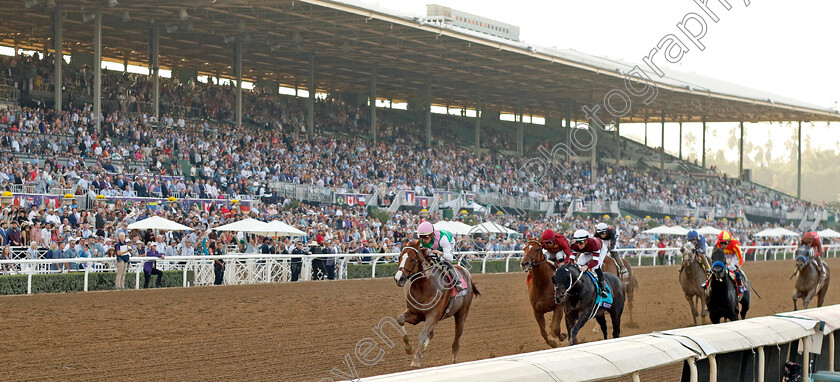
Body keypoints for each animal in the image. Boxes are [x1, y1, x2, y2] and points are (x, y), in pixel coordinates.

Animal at [394, 239, 480, 368]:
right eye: (399, 257)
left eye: (413, 259)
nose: (398, 278)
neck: (424, 286)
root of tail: (467, 273)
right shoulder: (415, 314)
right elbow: (400, 319)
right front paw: (409, 348)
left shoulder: (433, 314)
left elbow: (422, 334)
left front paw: (415, 360)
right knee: (431, 334)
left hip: (461, 314)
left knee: (457, 338)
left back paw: (454, 360)